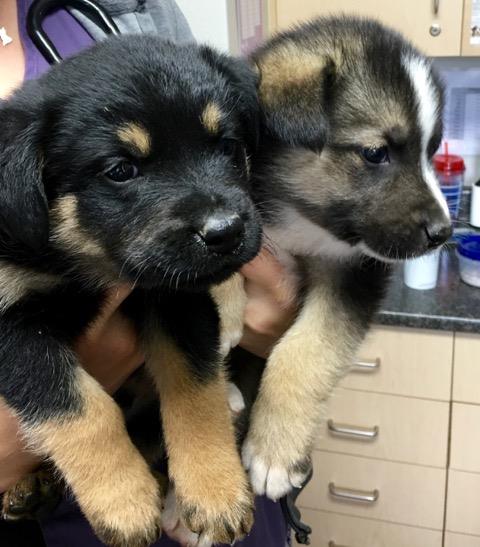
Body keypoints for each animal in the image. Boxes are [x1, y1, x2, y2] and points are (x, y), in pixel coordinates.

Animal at [0, 36, 262, 544]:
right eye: (121, 170)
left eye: (228, 145)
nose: (225, 232)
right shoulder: (13, 328)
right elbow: (78, 408)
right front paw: (123, 501)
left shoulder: (177, 300)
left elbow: (195, 395)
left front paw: (214, 491)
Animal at [240, 17, 454, 498]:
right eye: (376, 153)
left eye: (433, 153)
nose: (444, 233)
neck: (299, 218)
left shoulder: (352, 273)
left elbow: (302, 352)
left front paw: (274, 453)